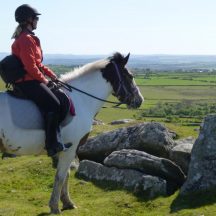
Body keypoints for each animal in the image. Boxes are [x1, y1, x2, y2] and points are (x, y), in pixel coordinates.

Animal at [0, 52, 143, 214]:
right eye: (130, 76)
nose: (140, 100)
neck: (81, 100)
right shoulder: (70, 148)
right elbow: (61, 176)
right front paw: (55, 206)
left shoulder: (65, 149)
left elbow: (66, 174)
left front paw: (67, 202)